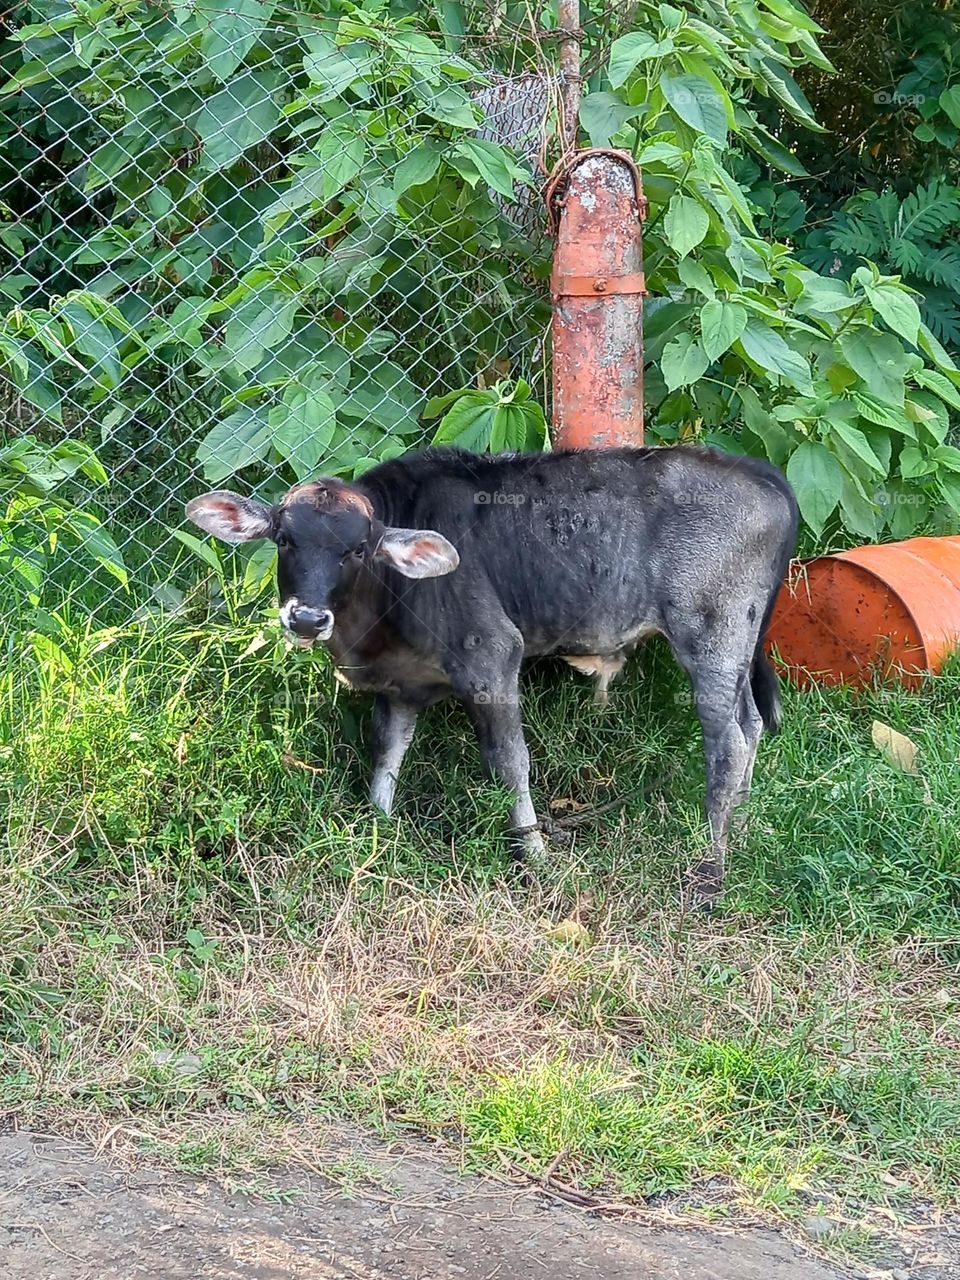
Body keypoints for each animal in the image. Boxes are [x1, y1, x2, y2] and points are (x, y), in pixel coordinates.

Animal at [186, 444, 798, 907]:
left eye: (358, 548)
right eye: (284, 539)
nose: (308, 619)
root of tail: (756, 470)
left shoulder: (493, 658)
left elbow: (509, 763)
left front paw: (535, 856)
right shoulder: (400, 685)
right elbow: (386, 752)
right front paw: (377, 829)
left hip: (712, 635)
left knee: (728, 741)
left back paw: (710, 868)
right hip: (736, 648)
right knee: (751, 726)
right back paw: (740, 828)